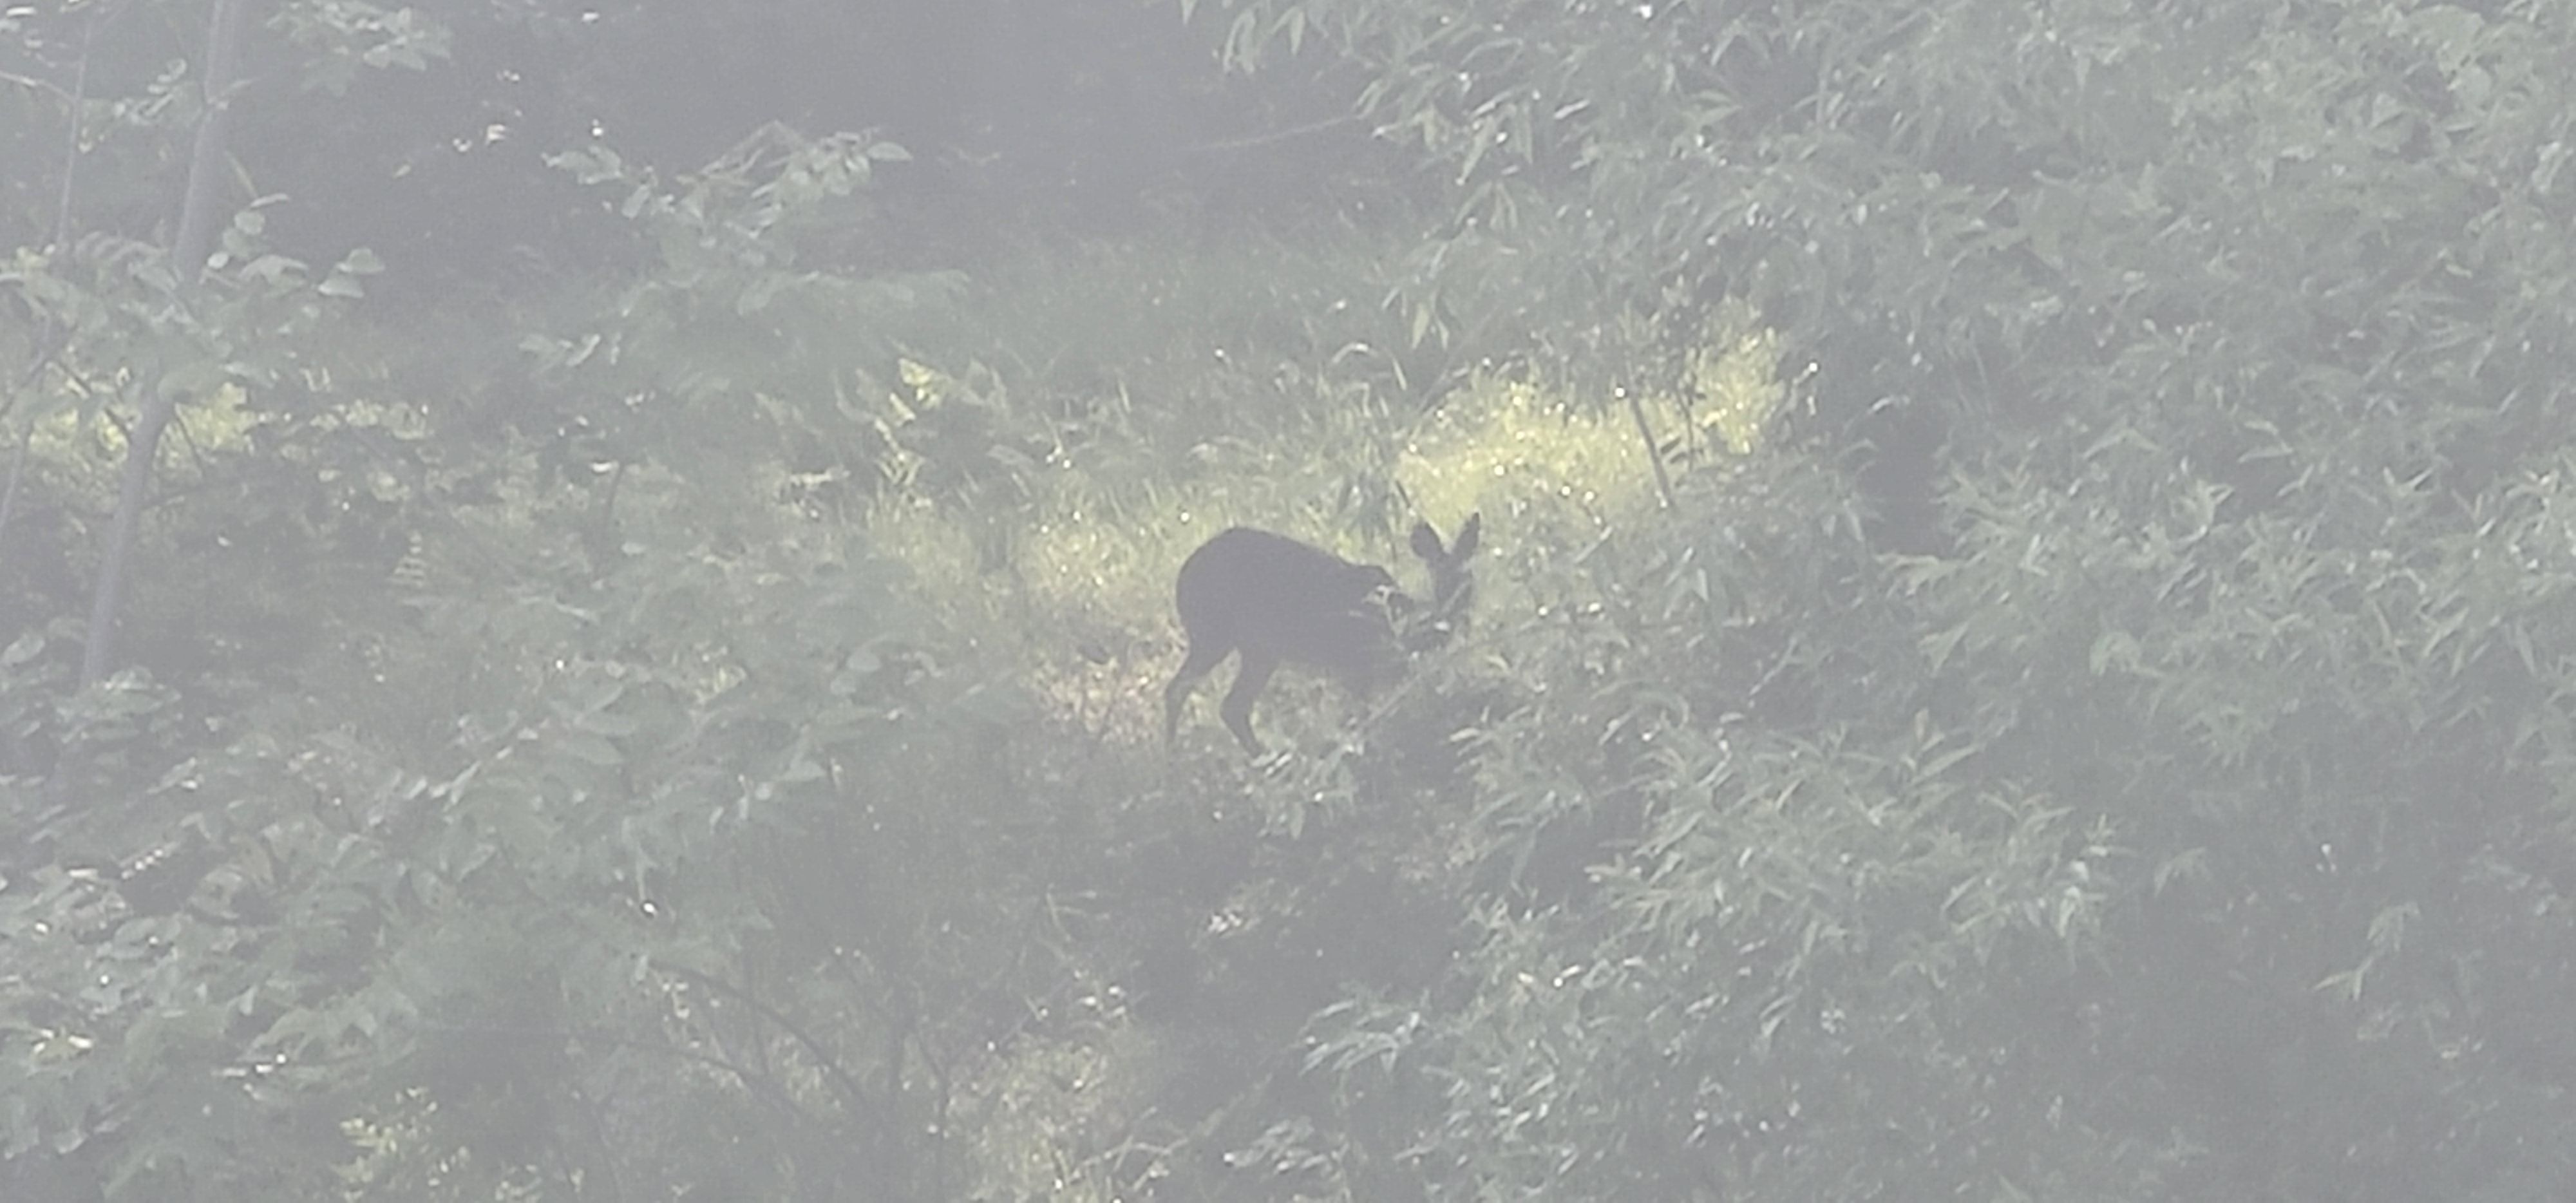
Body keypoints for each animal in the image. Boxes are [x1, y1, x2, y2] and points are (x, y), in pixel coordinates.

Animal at [1159, 515, 1484, 752]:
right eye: (1442, 581)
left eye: (1471, 582)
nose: (1457, 620)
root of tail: (1181, 579)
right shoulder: (1355, 665)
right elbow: (1360, 719)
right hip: (1216, 635)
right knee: (1181, 690)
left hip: (1258, 649)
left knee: (1229, 705)